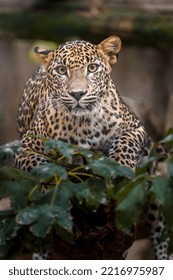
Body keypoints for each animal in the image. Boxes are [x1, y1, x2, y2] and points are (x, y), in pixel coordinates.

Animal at [15, 35, 170, 260]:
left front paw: (119, 167)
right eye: (61, 70)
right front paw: (52, 193)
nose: (78, 93)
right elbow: (42, 167)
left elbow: (126, 144)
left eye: (93, 68)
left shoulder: (136, 128)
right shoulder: (24, 148)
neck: (84, 123)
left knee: (159, 230)